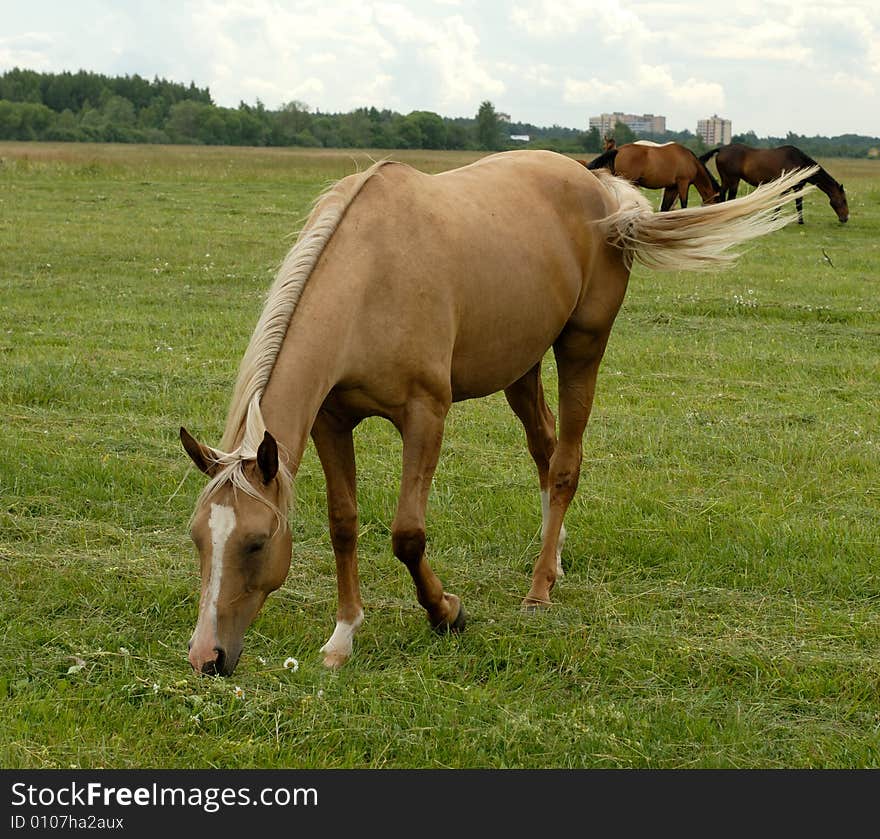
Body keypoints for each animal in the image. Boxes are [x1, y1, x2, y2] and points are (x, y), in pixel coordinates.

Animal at [180, 149, 820, 676]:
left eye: (256, 542)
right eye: (199, 539)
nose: (207, 658)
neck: (370, 278)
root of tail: (598, 186)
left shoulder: (426, 415)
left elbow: (407, 534)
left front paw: (446, 613)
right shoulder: (332, 422)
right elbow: (344, 525)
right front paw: (343, 636)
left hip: (582, 346)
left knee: (565, 464)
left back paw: (539, 591)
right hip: (522, 366)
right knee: (546, 450)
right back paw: (553, 561)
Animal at [584, 140, 720, 210]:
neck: (689, 160)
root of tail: (618, 150)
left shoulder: (671, 188)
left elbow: (665, 208)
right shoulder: (683, 184)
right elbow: (684, 204)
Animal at [700, 144, 844, 223]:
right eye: (842, 200)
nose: (845, 218)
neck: (798, 161)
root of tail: (721, 149)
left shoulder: (796, 187)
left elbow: (796, 204)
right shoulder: (787, 186)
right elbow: (788, 203)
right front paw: (777, 219)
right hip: (732, 179)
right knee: (728, 196)